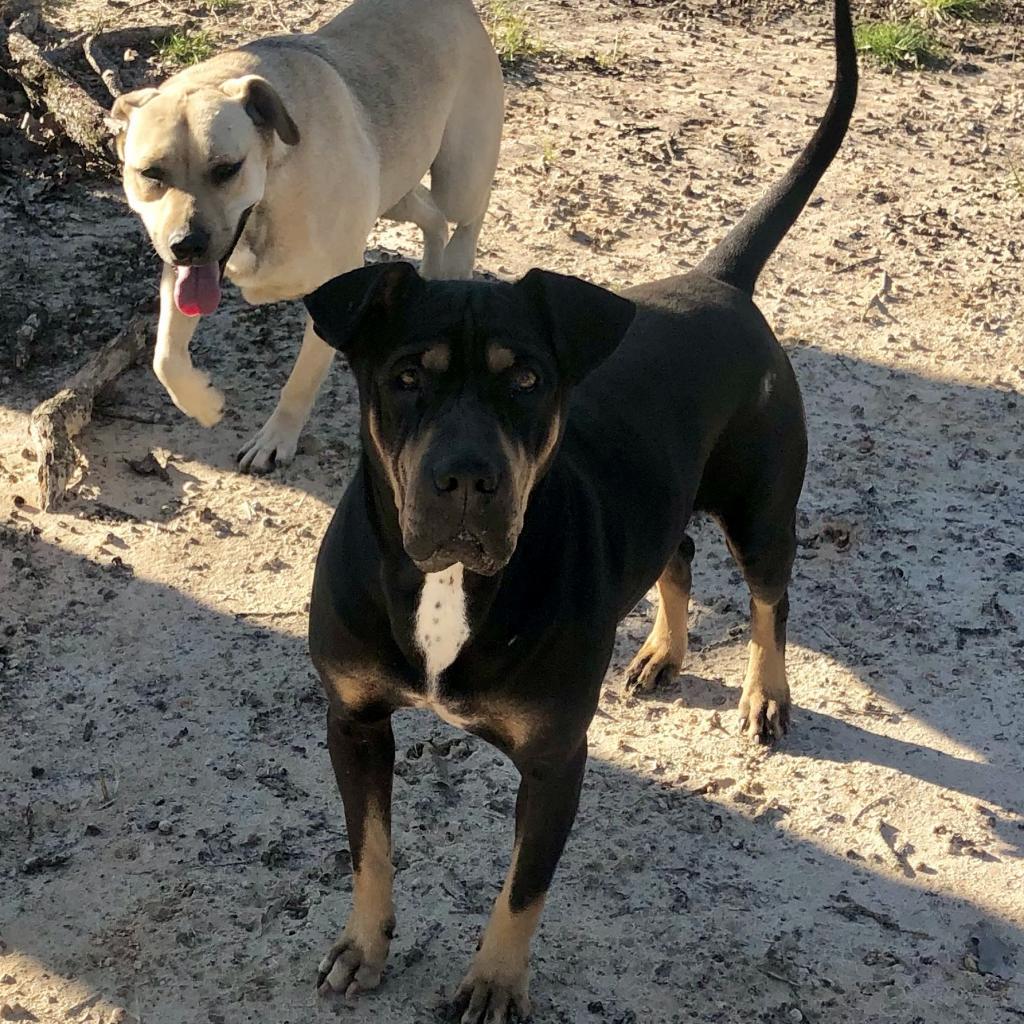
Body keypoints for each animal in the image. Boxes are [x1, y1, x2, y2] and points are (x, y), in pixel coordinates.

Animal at [107, 0, 499, 471]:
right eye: (151, 174)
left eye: (226, 169)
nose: (186, 245)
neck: (271, 187)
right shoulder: (181, 277)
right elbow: (166, 358)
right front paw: (203, 404)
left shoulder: (334, 295)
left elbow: (300, 382)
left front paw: (276, 438)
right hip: (396, 191)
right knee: (433, 217)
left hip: (458, 179)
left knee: (468, 212)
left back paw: (457, 263)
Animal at [301, 4, 856, 1019]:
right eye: (405, 377)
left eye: (526, 378)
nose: (467, 478)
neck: (447, 583)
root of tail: (721, 280)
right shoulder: (353, 721)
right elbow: (370, 849)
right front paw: (363, 944)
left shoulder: (556, 760)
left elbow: (522, 889)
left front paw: (492, 982)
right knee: (675, 552)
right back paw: (662, 652)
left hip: (762, 508)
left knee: (769, 599)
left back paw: (763, 695)